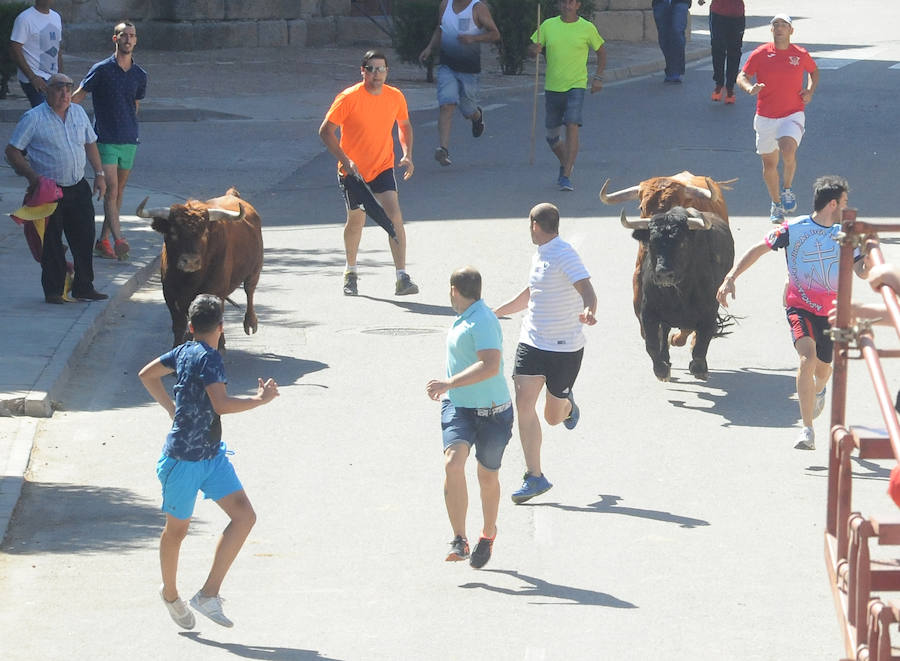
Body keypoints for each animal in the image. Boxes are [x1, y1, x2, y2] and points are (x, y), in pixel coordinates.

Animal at [138, 186, 264, 348]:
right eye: (173, 232)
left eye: (204, 233)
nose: (191, 261)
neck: (188, 279)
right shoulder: (169, 294)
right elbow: (178, 324)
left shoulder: (215, 291)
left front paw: (220, 345)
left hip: (255, 269)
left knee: (250, 290)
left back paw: (250, 322)